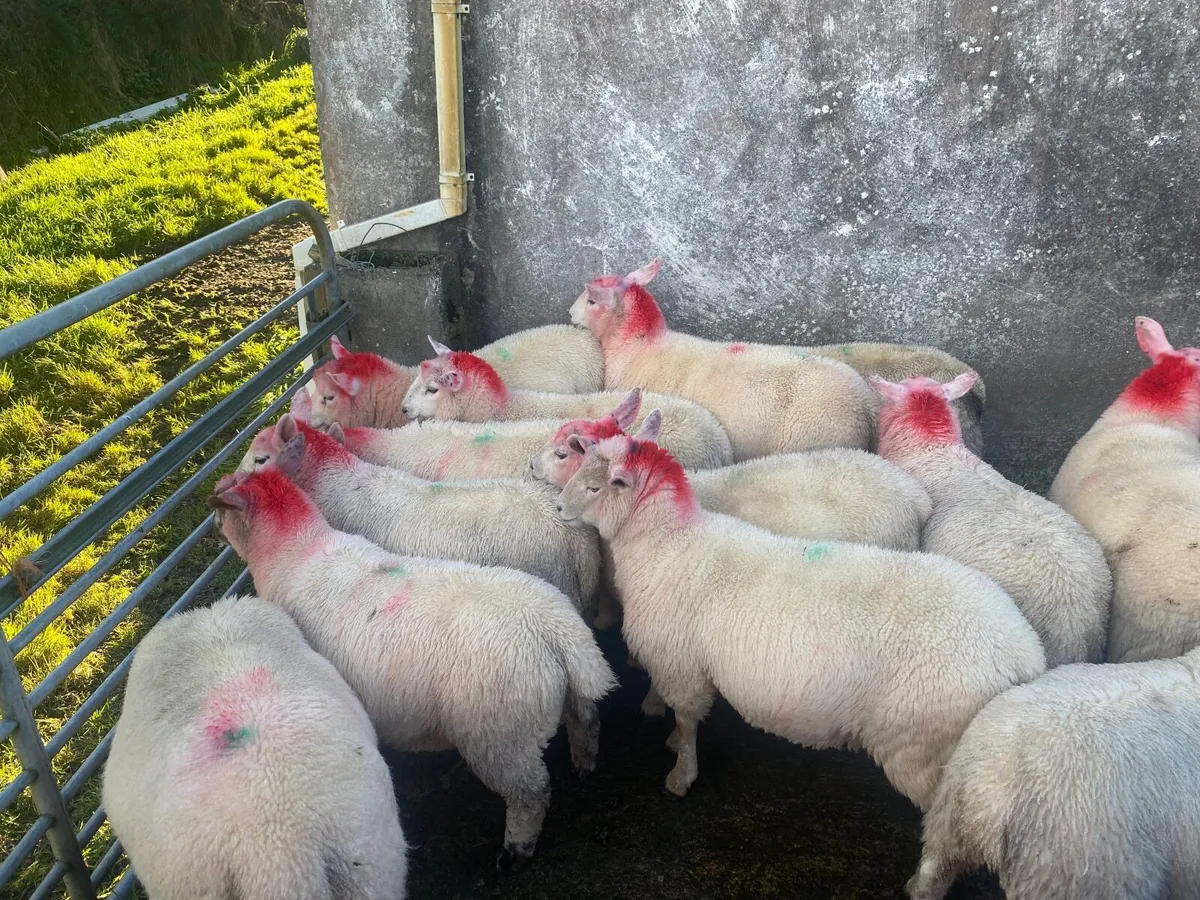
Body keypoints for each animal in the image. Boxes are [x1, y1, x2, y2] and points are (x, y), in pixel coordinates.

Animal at [207, 467, 616, 872]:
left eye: (223, 503)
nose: (213, 522)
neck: (295, 551)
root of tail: (554, 628)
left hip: (499, 735)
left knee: (530, 793)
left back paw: (515, 852)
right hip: (563, 692)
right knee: (586, 719)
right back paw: (585, 765)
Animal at [555, 433, 1045, 808]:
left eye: (596, 488)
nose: (558, 508)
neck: (667, 542)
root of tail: (1023, 654)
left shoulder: (681, 664)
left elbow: (688, 720)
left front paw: (680, 774)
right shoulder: (681, 662)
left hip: (921, 743)